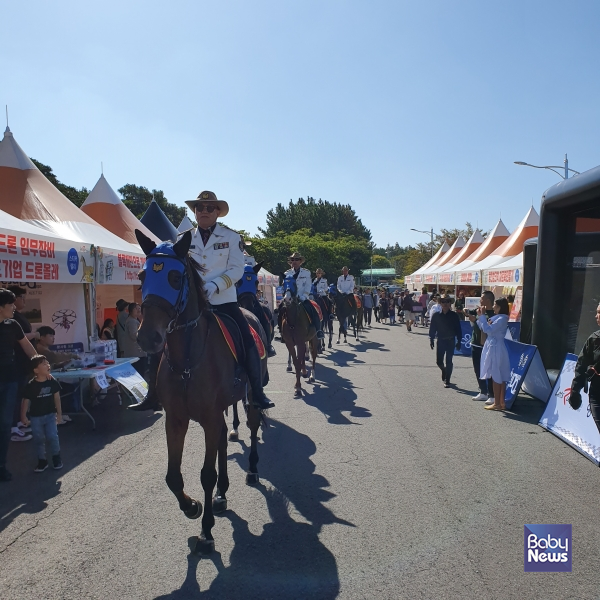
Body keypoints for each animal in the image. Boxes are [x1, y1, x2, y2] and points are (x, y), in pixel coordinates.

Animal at [136, 229, 268, 552]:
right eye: (142, 275)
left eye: (174, 277)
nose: (148, 337)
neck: (187, 360)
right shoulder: (176, 420)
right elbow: (173, 476)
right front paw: (192, 507)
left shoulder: (208, 418)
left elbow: (206, 474)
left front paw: (206, 531)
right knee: (222, 439)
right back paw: (222, 494)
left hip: (250, 397)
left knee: (252, 425)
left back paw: (252, 470)